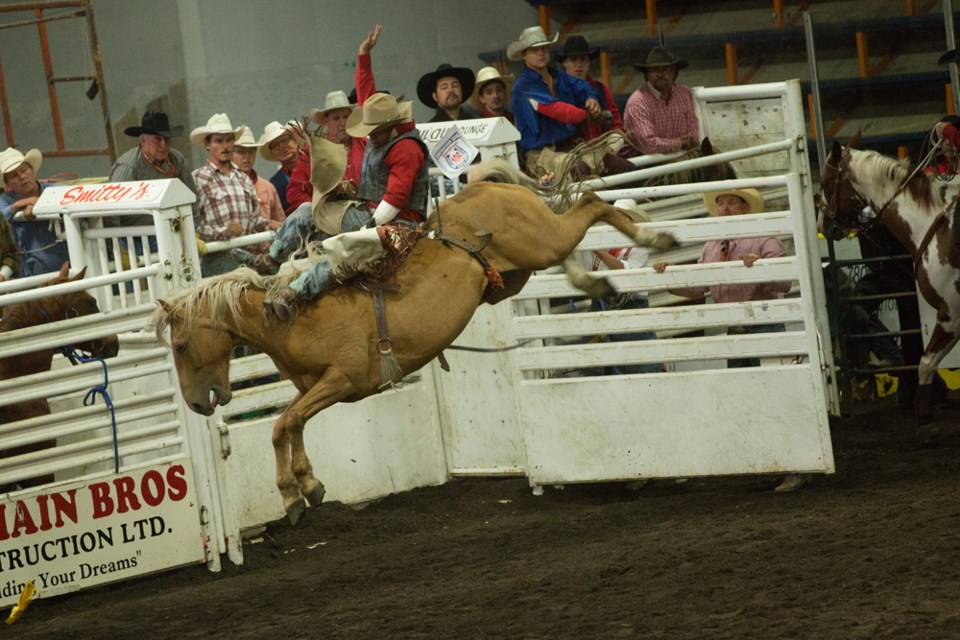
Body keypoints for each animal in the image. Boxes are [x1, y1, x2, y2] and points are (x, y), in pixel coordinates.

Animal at [154, 168, 680, 524]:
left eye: (181, 345)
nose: (197, 404)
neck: (288, 317)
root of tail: (486, 185)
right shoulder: (312, 389)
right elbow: (290, 424)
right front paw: (309, 487)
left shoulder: (341, 381)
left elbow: (283, 423)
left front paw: (291, 494)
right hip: (518, 270)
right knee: (575, 235)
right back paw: (596, 279)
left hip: (543, 240)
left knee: (591, 202)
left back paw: (654, 235)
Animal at [816, 129, 960, 424]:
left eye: (824, 182)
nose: (822, 224)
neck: (931, 222)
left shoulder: (950, 313)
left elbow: (926, 363)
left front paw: (924, 416)